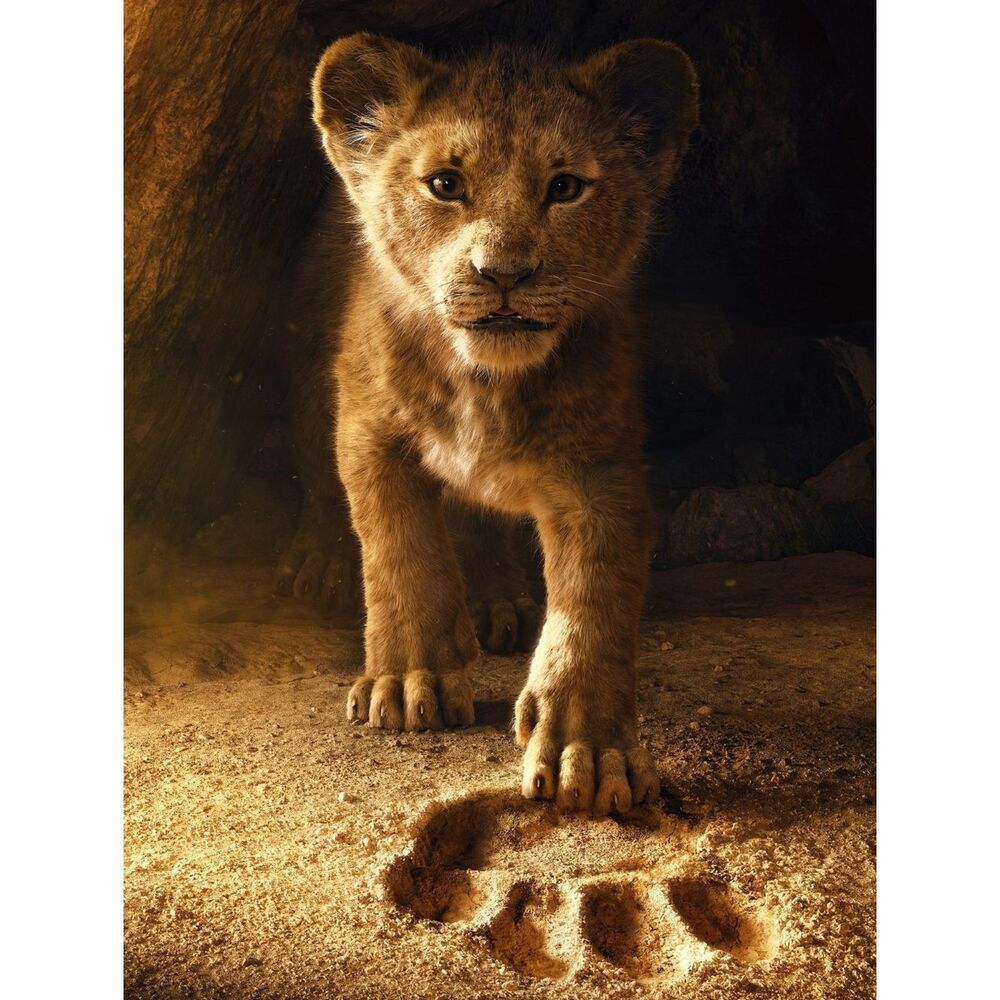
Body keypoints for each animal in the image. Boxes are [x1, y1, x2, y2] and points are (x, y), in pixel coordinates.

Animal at [278, 34, 699, 814]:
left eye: (565, 187)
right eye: (445, 184)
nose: (504, 273)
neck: (484, 380)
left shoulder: (600, 470)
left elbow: (593, 602)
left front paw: (587, 750)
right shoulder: (371, 431)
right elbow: (400, 552)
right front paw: (408, 681)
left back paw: (498, 599)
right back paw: (320, 562)